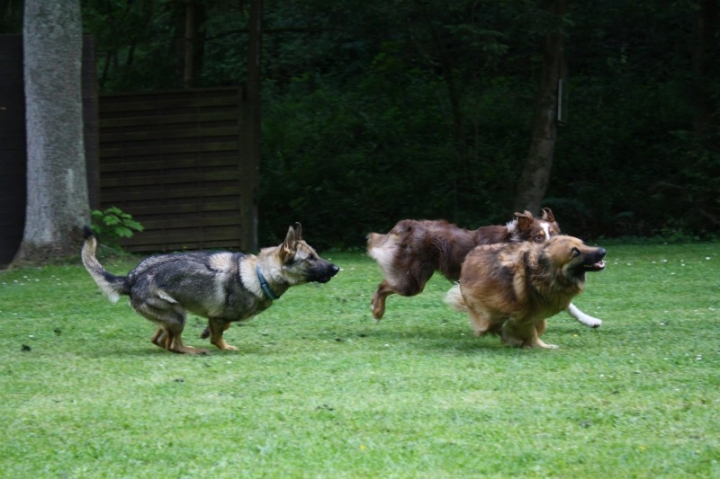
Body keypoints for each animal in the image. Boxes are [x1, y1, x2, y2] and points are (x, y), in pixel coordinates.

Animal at [83, 223, 338, 354]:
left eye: (317, 254)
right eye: (311, 258)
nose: (336, 268)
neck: (260, 274)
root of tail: (131, 279)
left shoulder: (217, 317)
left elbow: (221, 326)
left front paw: (206, 332)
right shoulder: (219, 315)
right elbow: (219, 336)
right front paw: (222, 344)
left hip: (172, 316)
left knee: (160, 339)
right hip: (178, 314)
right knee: (174, 345)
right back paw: (194, 350)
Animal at [448, 235, 604, 348]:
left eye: (583, 243)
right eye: (575, 252)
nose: (603, 251)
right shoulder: (523, 312)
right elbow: (529, 331)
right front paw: (540, 346)